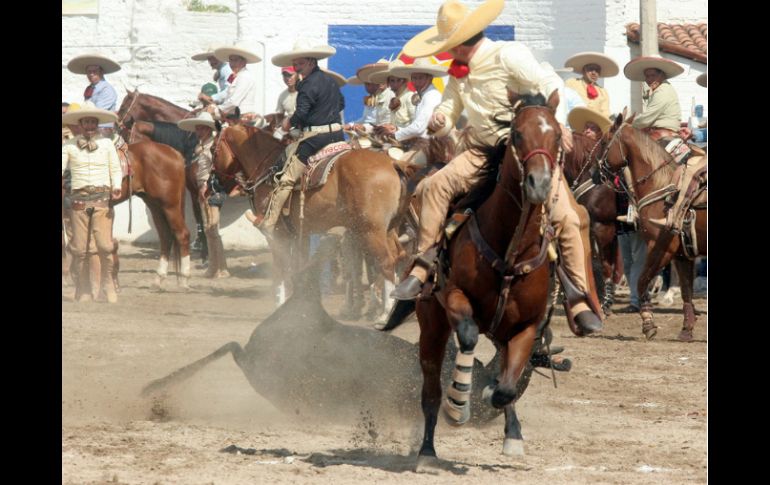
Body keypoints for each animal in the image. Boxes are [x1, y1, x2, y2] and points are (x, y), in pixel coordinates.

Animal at [208, 123, 402, 320]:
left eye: (212, 149)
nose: (210, 185)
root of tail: (392, 164)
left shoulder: (277, 235)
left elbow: (281, 269)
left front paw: (280, 306)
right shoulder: (301, 234)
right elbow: (299, 266)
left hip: (371, 231)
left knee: (385, 263)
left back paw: (385, 312)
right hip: (385, 230)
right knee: (394, 258)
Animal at [408, 91, 564, 468]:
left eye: (557, 135)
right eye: (518, 134)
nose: (539, 184)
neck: (511, 252)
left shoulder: (527, 326)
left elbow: (506, 388)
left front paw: (503, 413)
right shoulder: (454, 298)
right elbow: (466, 336)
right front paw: (458, 405)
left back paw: (511, 431)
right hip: (431, 324)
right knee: (430, 391)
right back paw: (427, 450)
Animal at [596, 113, 704, 340]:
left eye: (604, 142)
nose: (595, 171)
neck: (663, 185)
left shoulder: (660, 247)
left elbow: (641, 280)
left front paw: (648, 323)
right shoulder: (682, 254)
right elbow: (686, 291)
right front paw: (686, 330)